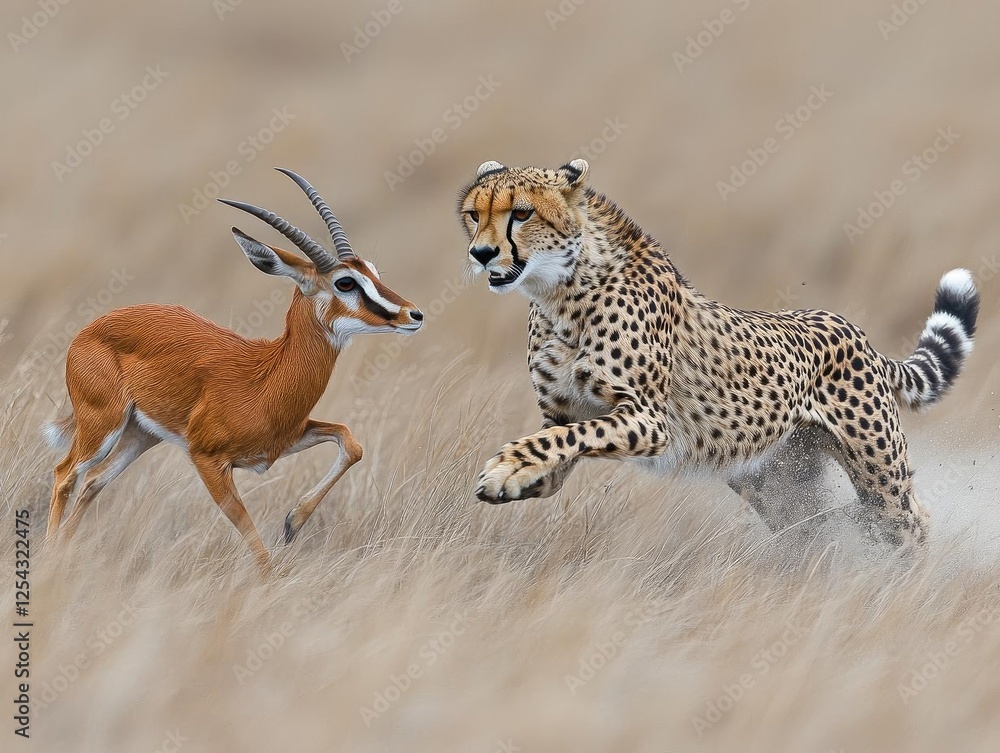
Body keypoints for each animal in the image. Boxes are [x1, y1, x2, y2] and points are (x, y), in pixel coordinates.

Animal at [44, 168, 423, 570]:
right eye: (345, 282)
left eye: (374, 272)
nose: (413, 314)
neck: (266, 377)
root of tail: (90, 329)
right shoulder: (208, 459)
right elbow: (256, 546)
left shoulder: (283, 443)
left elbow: (351, 441)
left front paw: (292, 522)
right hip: (103, 427)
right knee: (65, 474)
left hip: (140, 435)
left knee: (92, 483)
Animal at [456, 158, 980, 548]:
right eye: (474, 215)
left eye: (521, 213)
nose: (482, 253)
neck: (561, 294)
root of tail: (852, 329)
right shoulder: (564, 415)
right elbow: (557, 442)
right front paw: (518, 473)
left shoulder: (651, 421)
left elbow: (565, 436)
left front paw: (507, 466)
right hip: (774, 481)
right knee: (813, 528)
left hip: (878, 476)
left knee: (910, 523)